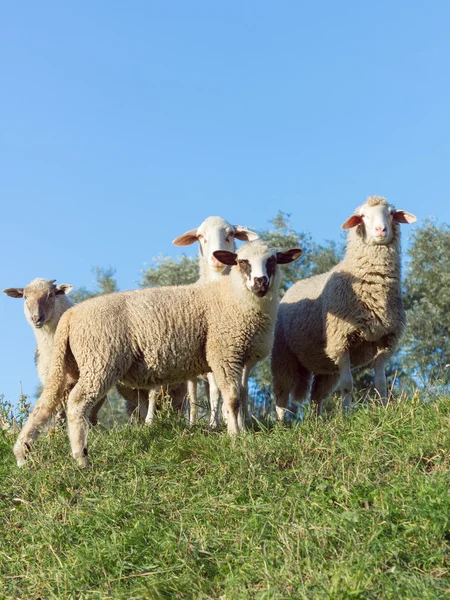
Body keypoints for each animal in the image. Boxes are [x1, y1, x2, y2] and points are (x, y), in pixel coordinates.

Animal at [125, 216, 260, 426]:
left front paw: (238, 421)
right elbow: (214, 391)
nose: (215, 257)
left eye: (230, 234)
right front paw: (214, 424)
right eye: (200, 237)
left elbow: (235, 389)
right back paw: (181, 422)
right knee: (186, 394)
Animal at [268, 197, 416, 418]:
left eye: (391, 213)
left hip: (326, 365)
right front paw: (347, 415)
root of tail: (294, 286)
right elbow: (347, 385)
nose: (381, 230)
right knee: (281, 397)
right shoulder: (341, 340)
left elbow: (381, 383)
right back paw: (281, 422)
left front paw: (384, 409)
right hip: (283, 357)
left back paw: (316, 420)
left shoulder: (385, 341)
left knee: (316, 396)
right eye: (362, 216)